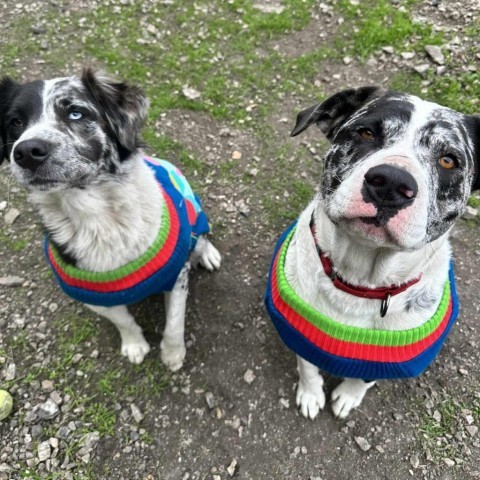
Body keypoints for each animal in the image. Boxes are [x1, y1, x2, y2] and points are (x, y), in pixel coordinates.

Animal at [0, 69, 221, 370]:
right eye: (15, 121)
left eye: (76, 113)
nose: (26, 152)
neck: (101, 219)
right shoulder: (89, 294)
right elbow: (123, 319)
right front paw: (135, 345)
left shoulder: (177, 275)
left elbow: (175, 322)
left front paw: (173, 355)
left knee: (202, 239)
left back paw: (208, 253)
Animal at [264, 88, 480, 418]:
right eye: (365, 132)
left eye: (448, 160)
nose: (391, 182)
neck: (359, 281)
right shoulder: (298, 332)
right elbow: (308, 366)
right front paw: (311, 394)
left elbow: (364, 378)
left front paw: (348, 395)